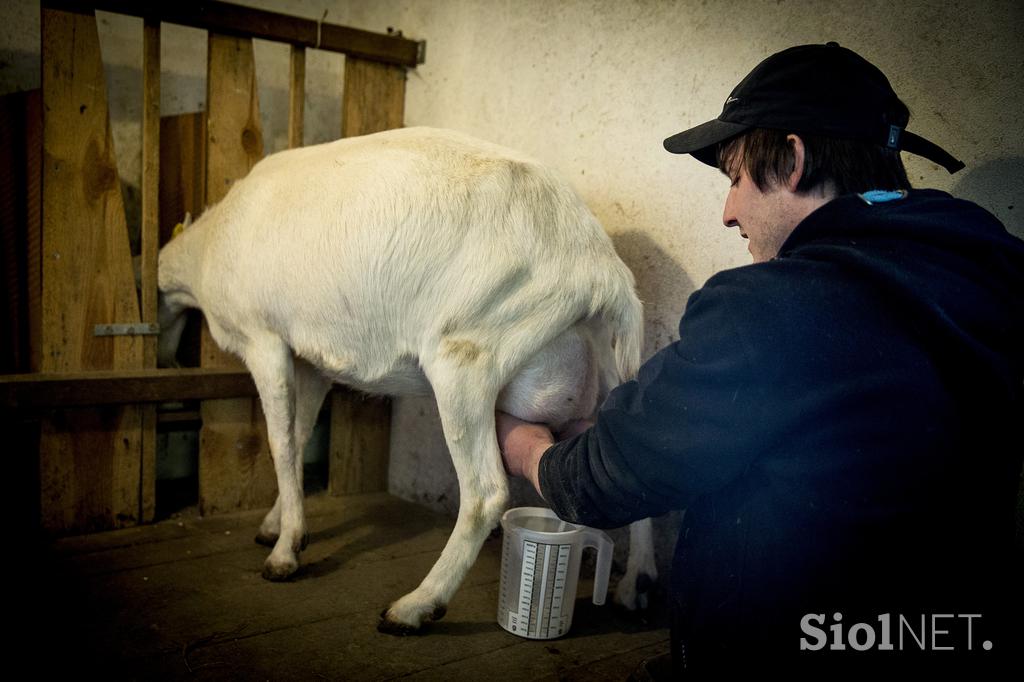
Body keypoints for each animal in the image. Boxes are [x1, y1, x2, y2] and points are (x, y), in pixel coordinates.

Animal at [157, 124, 655, 630]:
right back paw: (635, 584)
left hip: (468, 355)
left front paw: (284, 553)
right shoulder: (310, 361)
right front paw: (277, 525)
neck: (208, 246)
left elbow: (279, 443)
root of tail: (601, 273)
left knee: (486, 493)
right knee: (627, 460)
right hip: (612, 371)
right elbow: (297, 439)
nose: (163, 356)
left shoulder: (265, 340)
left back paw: (415, 606)